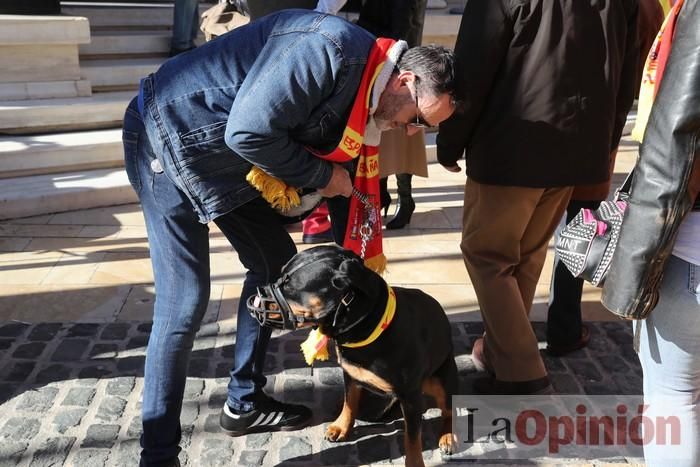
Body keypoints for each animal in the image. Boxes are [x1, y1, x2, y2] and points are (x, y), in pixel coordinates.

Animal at [247, 245, 460, 467]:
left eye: (290, 286)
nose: (254, 300)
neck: (369, 325)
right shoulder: (350, 374)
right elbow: (349, 402)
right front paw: (341, 427)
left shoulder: (410, 395)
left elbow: (412, 438)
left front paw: (415, 462)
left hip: (441, 379)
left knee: (449, 408)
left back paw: (447, 436)